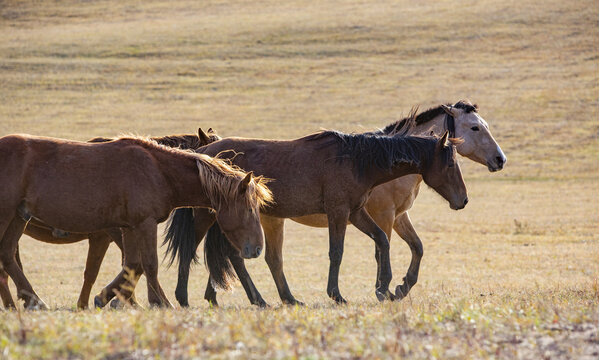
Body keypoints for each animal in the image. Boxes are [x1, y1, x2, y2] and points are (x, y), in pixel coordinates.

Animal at [0, 134, 270, 308]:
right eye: (249, 209)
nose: (257, 248)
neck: (159, 171)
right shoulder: (144, 224)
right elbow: (149, 264)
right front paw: (161, 302)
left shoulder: (128, 227)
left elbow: (132, 265)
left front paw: (105, 298)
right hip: (7, 215)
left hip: (19, 217)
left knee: (7, 254)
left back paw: (33, 301)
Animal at [172, 100, 506, 306]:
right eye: (475, 127)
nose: (463, 200)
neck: (357, 160)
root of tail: (204, 151)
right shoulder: (343, 213)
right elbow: (339, 252)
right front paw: (340, 293)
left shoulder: (359, 213)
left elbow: (385, 243)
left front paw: (387, 287)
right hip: (209, 216)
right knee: (196, 250)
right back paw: (185, 298)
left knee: (242, 257)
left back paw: (267, 299)